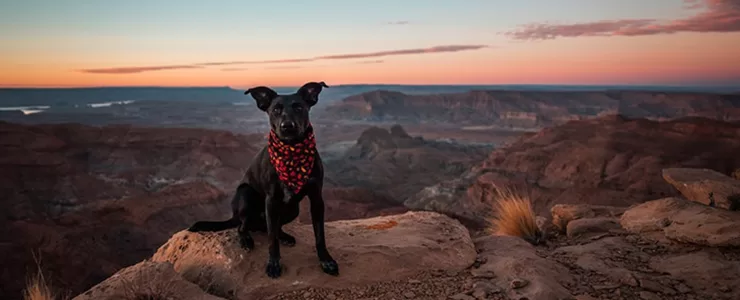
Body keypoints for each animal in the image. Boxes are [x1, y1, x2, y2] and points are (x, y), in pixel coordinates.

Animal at [191, 81, 342, 278]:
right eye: (275, 110)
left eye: (299, 107)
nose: (287, 126)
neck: (292, 152)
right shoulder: (271, 200)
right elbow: (272, 241)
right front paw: (274, 264)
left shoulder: (316, 198)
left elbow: (319, 235)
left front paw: (326, 261)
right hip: (246, 196)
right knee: (243, 226)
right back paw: (246, 239)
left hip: (293, 209)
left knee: (271, 228)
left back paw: (284, 236)